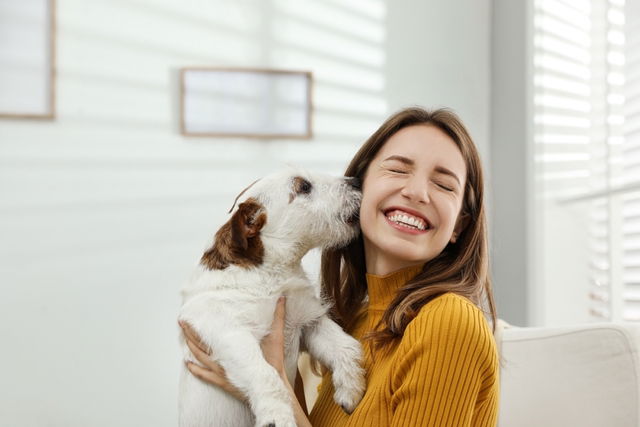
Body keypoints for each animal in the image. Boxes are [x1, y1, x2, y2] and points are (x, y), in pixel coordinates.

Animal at [178, 168, 368, 427]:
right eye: (304, 186)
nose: (357, 181)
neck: (272, 275)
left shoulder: (309, 322)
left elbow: (347, 347)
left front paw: (350, 389)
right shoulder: (228, 331)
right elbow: (266, 374)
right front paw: (277, 416)